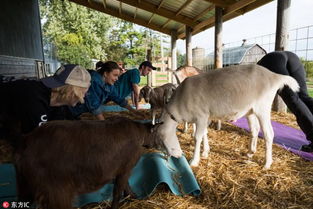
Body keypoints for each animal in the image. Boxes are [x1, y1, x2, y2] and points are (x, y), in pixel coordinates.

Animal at [15, 116, 162, 209]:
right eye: (156, 134)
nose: (158, 145)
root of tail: (26, 140)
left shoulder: (119, 170)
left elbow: (125, 186)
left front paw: (133, 197)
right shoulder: (125, 168)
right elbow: (118, 191)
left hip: (25, 186)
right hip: (57, 191)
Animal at [160, 64, 298, 169]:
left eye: (162, 139)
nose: (174, 156)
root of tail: (275, 76)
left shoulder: (201, 115)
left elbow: (197, 137)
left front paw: (194, 161)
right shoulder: (205, 117)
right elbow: (205, 133)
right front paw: (205, 152)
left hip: (262, 108)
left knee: (269, 133)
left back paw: (267, 164)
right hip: (250, 111)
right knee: (255, 129)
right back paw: (250, 153)